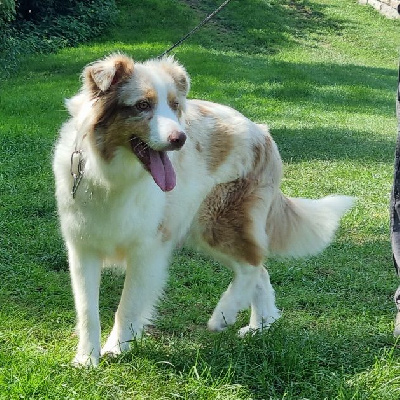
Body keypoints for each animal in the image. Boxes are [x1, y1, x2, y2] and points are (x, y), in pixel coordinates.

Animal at [52, 54, 354, 366]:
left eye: (174, 105)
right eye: (142, 105)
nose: (180, 139)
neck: (112, 176)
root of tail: (262, 131)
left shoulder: (148, 248)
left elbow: (128, 304)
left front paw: (117, 347)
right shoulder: (83, 247)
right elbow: (87, 310)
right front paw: (87, 359)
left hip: (215, 221)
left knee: (253, 264)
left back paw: (224, 314)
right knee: (260, 271)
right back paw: (260, 326)